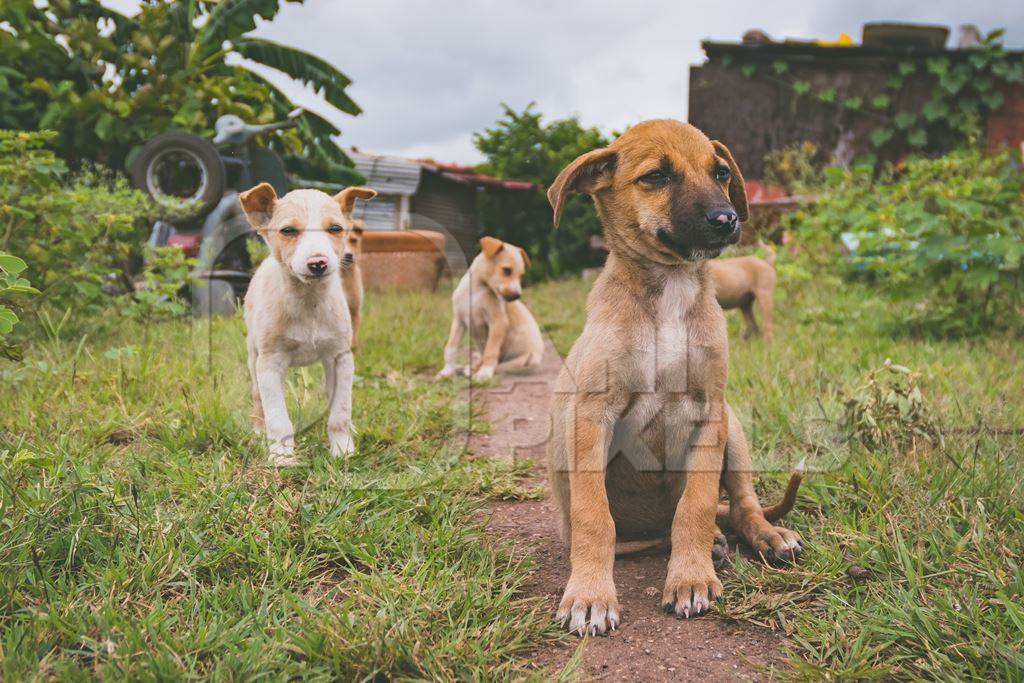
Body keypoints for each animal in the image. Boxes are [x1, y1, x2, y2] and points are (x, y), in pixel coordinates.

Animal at [239, 181, 376, 466]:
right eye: (288, 231)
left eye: (335, 229)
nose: (318, 263)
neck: (309, 302)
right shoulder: (269, 362)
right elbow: (278, 417)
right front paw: (281, 457)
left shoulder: (340, 358)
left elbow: (340, 412)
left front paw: (343, 450)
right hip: (254, 357)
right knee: (259, 401)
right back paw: (258, 432)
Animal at [436, 237, 548, 382]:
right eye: (507, 270)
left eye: (521, 275)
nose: (517, 296)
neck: (477, 290)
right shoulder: (459, 321)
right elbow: (450, 347)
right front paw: (447, 371)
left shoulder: (498, 322)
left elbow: (491, 351)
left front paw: (485, 373)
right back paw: (468, 368)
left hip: (528, 359)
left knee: (502, 365)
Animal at [548, 120, 802, 638]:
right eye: (656, 177)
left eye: (721, 172)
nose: (727, 219)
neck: (670, 291)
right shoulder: (590, 416)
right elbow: (594, 515)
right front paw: (590, 595)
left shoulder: (710, 411)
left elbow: (698, 504)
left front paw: (690, 578)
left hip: (733, 428)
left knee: (741, 505)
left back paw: (764, 537)